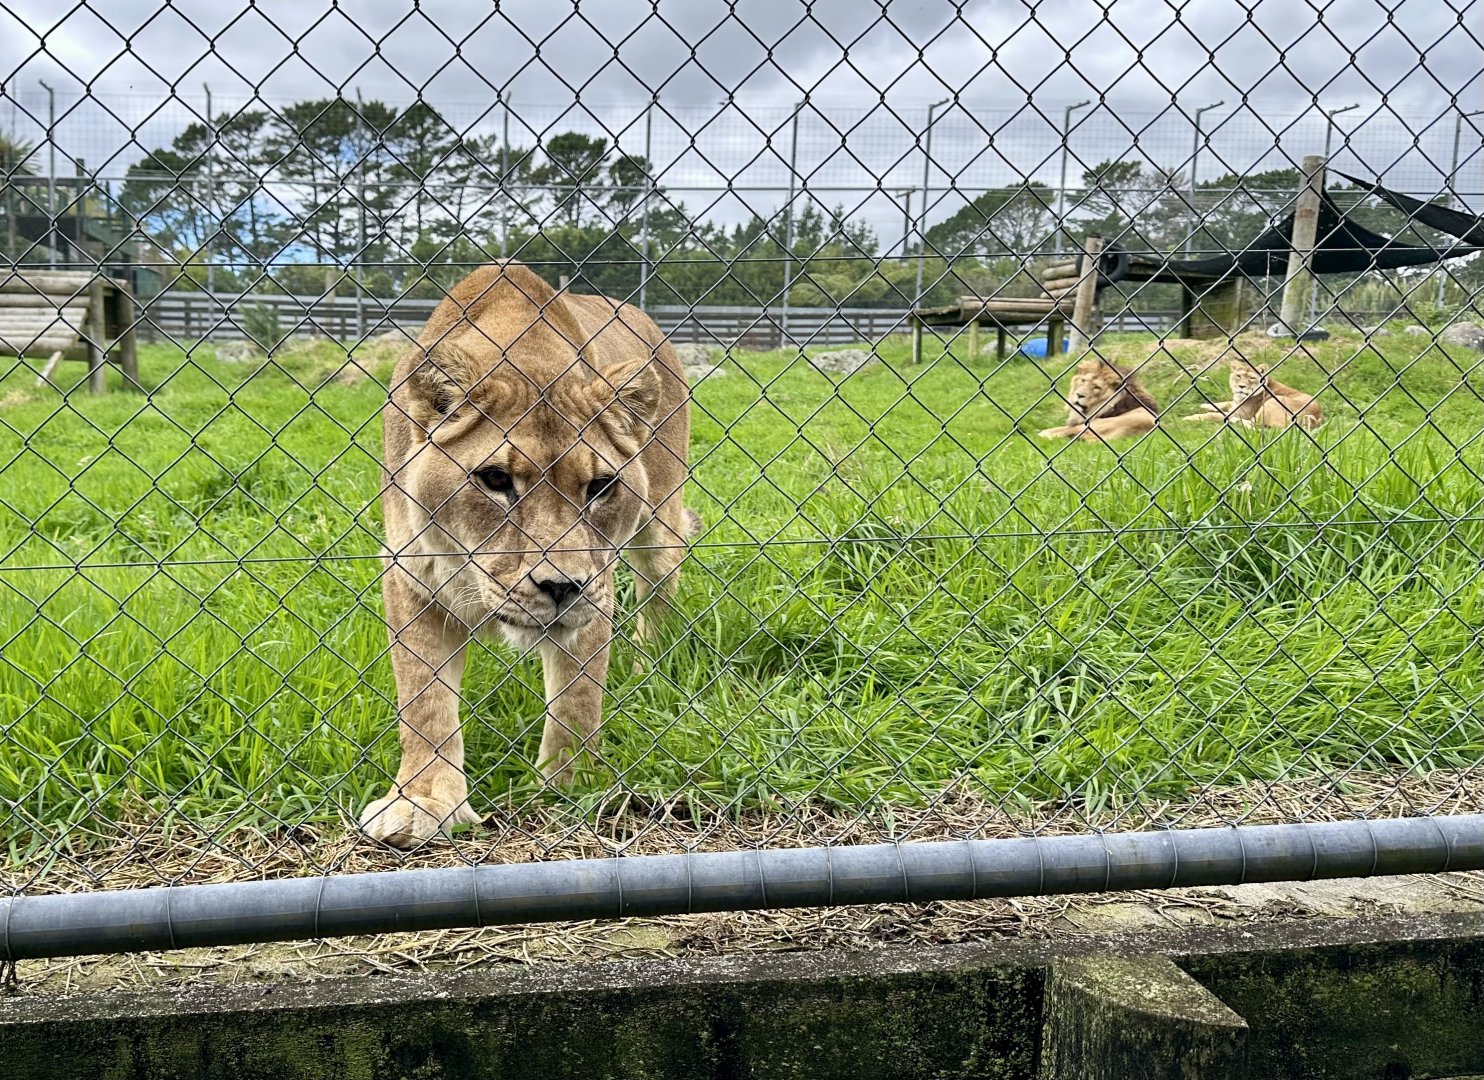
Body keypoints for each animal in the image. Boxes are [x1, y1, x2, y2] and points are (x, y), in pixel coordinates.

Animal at [360, 262, 694, 848]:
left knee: (661, 586)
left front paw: (570, 789)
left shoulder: (597, 586)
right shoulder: (411, 576)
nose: (561, 587)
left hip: (660, 523)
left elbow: (576, 700)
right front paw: (423, 802)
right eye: (496, 480)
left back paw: (646, 665)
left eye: (600, 487)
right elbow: (424, 701)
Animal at [1184, 354, 1323, 430]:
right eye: (1239, 376)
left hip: (1274, 401)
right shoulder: (1234, 404)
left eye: (1251, 378)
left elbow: (1214, 415)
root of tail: (1316, 419)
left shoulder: (1239, 413)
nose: (1241, 386)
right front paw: (1205, 404)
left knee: (1255, 425)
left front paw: (1190, 417)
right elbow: (1225, 403)